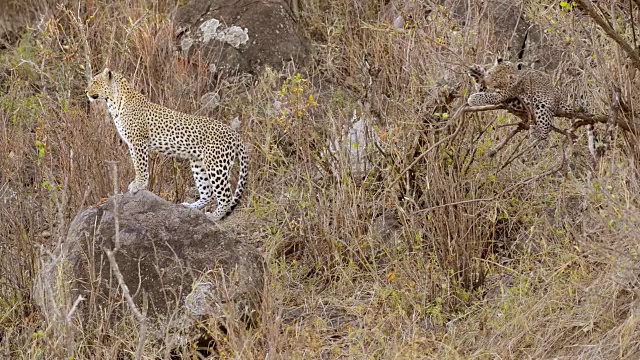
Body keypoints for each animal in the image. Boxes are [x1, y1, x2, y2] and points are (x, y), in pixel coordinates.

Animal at [89, 66, 249, 221]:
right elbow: (136, 164)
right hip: (198, 163)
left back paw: (214, 216)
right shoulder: (132, 144)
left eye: (95, 82)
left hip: (216, 165)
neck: (114, 102)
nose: (86, 92)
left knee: (226, 195)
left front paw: (139, 185)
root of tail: (234, 133)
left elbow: (140, 165)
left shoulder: (139, 141)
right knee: (208, 193)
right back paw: (189, 207)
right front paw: (137, 183)